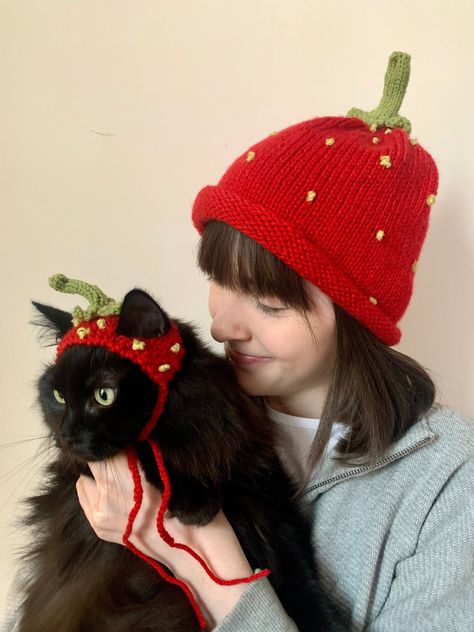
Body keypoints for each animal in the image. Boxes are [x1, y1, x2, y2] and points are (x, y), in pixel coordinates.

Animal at [17, 288, 344, 632]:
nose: (66, 435)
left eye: (103, 395)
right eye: (58, 396)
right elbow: (145, 450)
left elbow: (302, 581)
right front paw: (195, 504)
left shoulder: (270, 502)